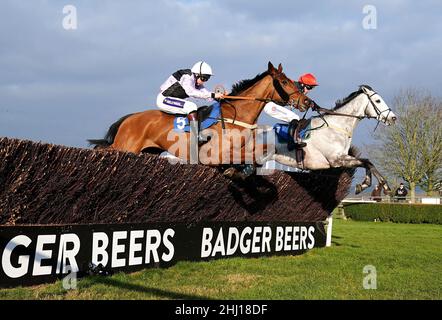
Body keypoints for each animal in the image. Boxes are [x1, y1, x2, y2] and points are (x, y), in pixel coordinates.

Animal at [88, 63, 314, 172]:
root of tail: (130, 118)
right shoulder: (215, 155)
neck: (236, 116)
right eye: (284, 82)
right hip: (127, 146)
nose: (306, 102)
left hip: (148, 151)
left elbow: (259, 154)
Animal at [270, 85, 398, 194]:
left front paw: (364, 185)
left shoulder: (342, 157)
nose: (393, 118)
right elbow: (366, 162)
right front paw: (383, 185)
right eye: (378, 101)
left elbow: (367, 162)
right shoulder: (336, 160)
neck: (336, 126)